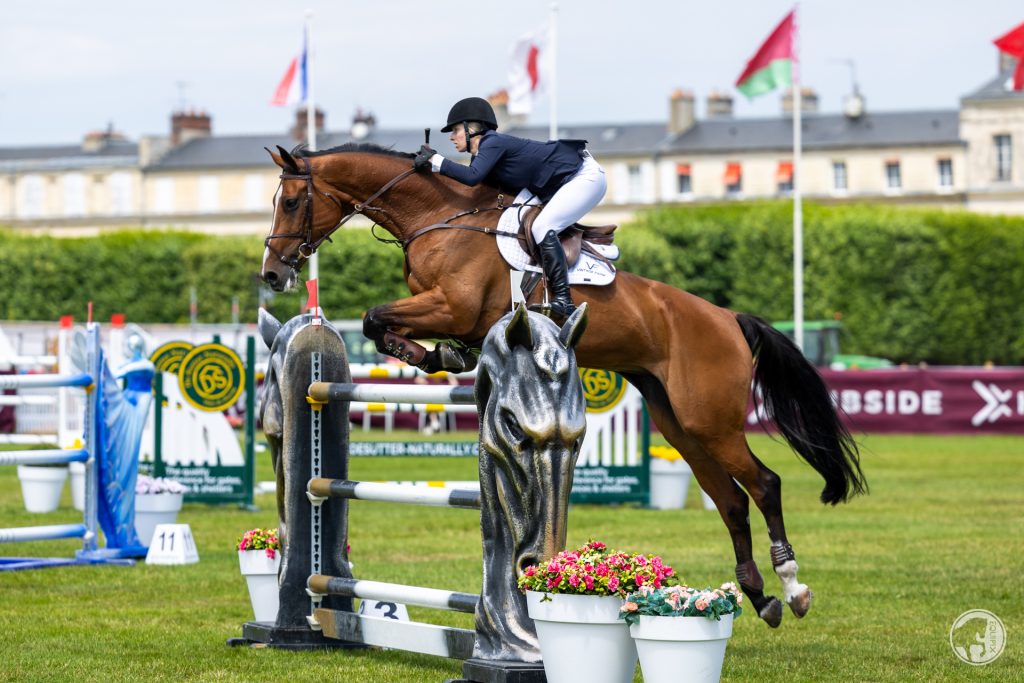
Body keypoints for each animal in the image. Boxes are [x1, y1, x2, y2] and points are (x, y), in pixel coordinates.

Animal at [260, 141, 868, 626]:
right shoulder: (436, 308)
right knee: (731, 501)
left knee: (764, 485)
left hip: (710, 420)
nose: (273, 273)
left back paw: (794, 588)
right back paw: (760, 597)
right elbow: (377, 322)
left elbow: (374, 317)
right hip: (679, 424)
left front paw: (435, 353)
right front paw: (437, 355)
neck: (440, 217)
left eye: (290, 202)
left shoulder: (452, 306)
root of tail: (728, 318)